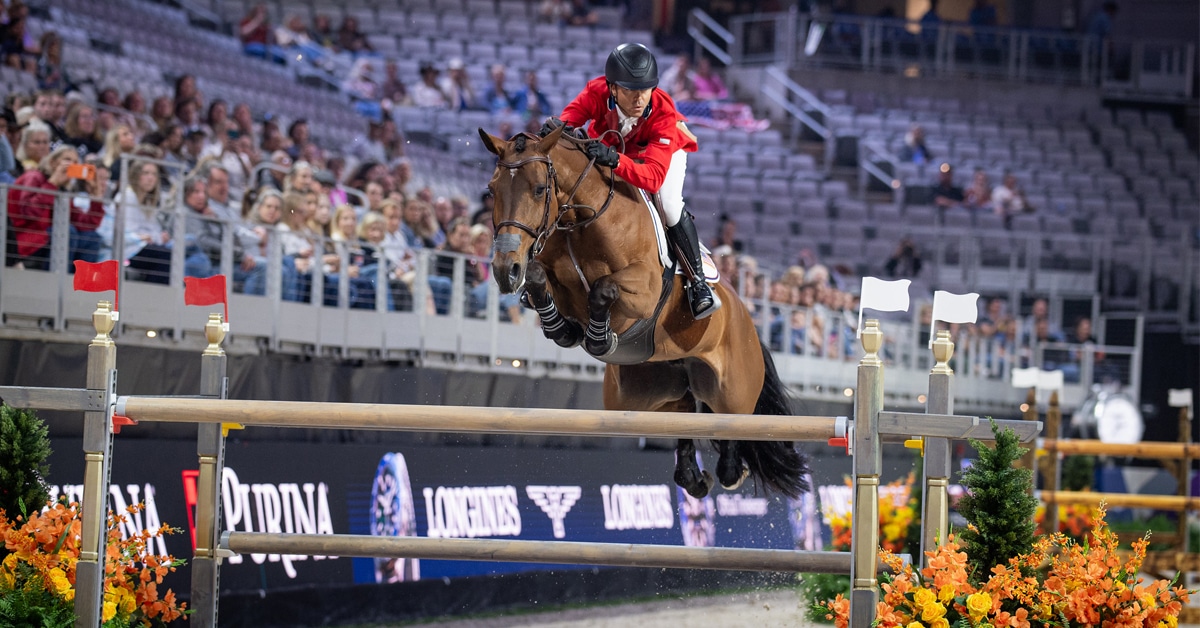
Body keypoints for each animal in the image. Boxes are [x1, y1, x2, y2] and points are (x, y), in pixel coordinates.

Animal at [478, 126, 809, 499]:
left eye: (538, 188)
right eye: (491, 189)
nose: (504, 270)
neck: (580, 221)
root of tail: (749, 319)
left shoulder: (645, 290)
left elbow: (603, 288)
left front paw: (599, 338)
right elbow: (538, 277)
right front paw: (564, 329)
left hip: (731, 388)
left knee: (733, 424)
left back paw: (730, 471)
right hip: (641, 393)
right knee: (685, 413)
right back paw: (693, 477)